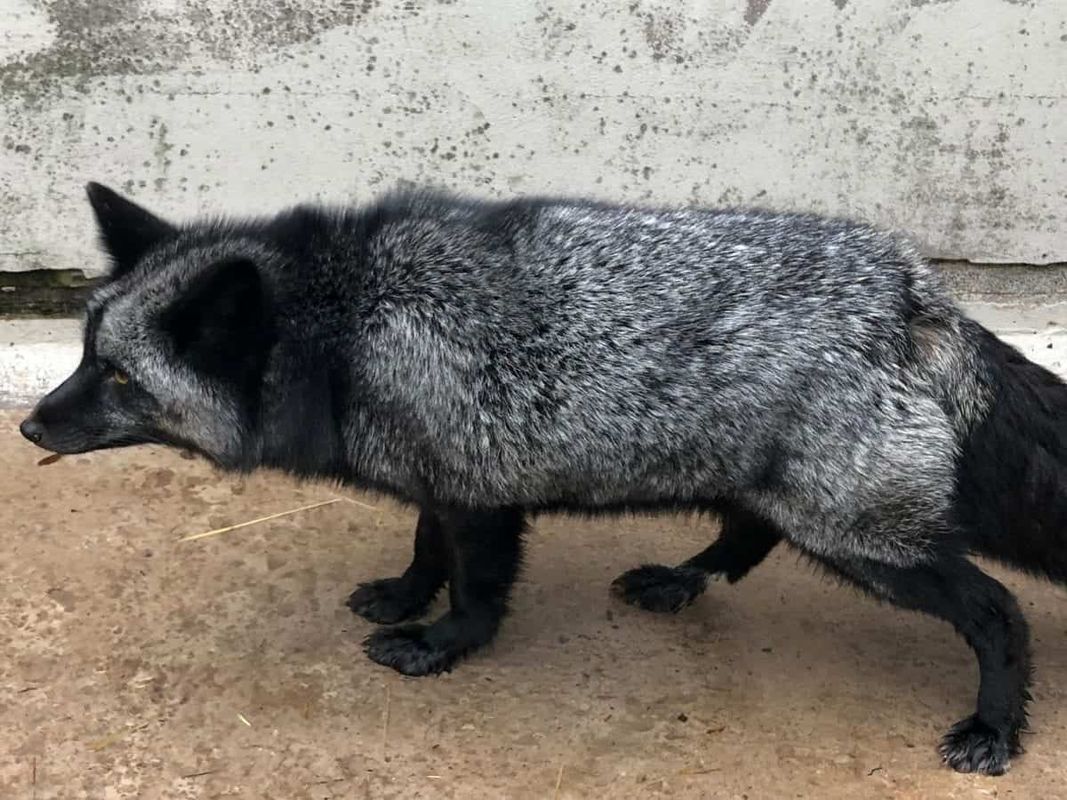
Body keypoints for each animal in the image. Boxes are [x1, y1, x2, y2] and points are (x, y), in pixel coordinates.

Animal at [19, 182, 1067, 775]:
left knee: (997, 612)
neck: (345, 327)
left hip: (858, 538)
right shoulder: (439, 475)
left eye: (121, 378)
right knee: (746, 535)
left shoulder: (482, 498)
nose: (30, 423)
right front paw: (402, 594)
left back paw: (995, 725)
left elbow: (477, 591)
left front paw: (438, 645)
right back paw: (678, 580)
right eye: (84, 350)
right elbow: (422, 547)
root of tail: (916, 290)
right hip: (778, 495)